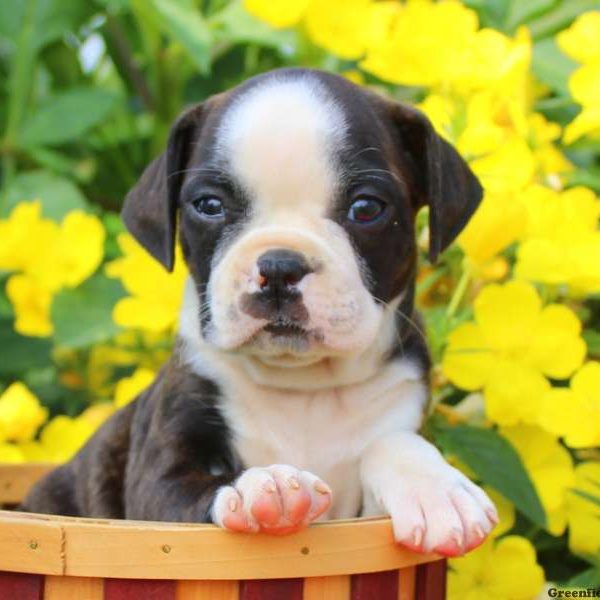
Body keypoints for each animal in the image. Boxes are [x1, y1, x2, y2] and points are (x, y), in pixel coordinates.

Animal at [22, 68, 496, 556]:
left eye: (366, 208)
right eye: (209, 205)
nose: (280, 266)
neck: (302, 388)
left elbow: (393, 443)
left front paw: (437, 489)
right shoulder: (157, 482)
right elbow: (200, 485)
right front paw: (262, 483)